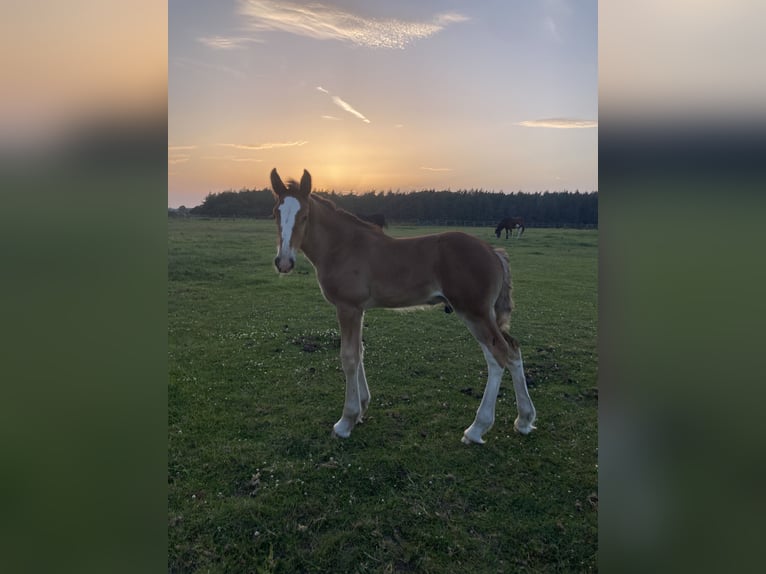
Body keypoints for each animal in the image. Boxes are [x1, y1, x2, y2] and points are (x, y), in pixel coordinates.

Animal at [271, 169, 536, 444]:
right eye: (275, 214)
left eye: (305, 216)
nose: (284, 262)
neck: (343, 246)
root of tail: (493, 252)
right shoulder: (359, 309)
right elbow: (360, 351)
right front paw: (362, 409)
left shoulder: (348, 307)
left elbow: (349, 357)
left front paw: (346, 421)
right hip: (488, 314)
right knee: (513, 350)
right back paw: (524, 420)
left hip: (474, 313)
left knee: (498, 356)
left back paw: (476, 429)